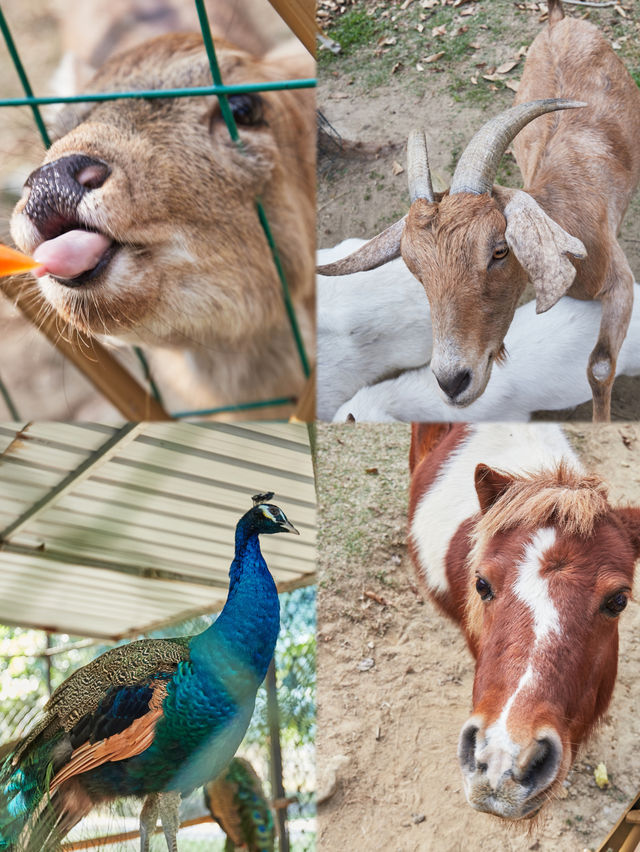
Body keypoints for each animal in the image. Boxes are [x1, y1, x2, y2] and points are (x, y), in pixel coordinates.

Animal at [318, 0, 640, 420]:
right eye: (413, 266)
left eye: (500, 250)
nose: (453, 381)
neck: (569, 208)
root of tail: (557, 21)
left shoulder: (621, 281)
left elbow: (600, 366)